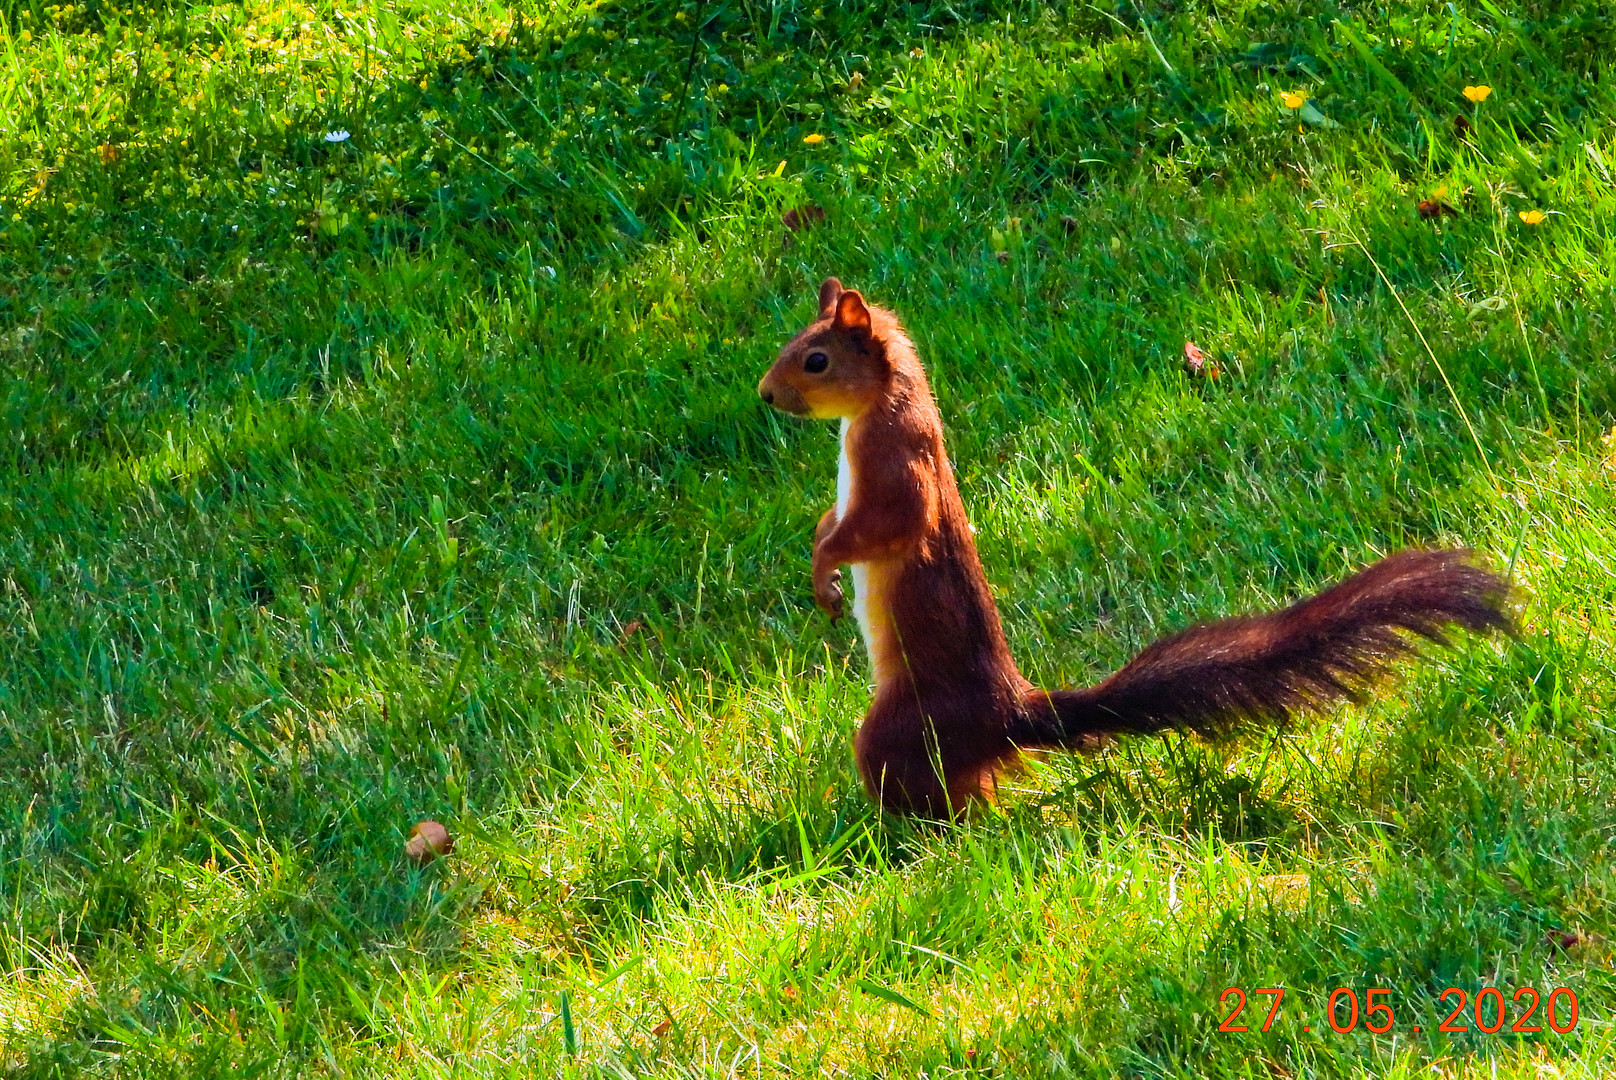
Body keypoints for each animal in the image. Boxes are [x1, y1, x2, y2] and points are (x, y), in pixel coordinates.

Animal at [756, 278, 1512, 818]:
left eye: (816, 360)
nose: (764, 395)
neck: (883, 404)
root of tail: (1011, 715)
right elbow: (832, 521)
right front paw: (821, 557)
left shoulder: (895, 470)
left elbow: (876, 530)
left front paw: (823, 571)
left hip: (899, 730)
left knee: (935, 803)